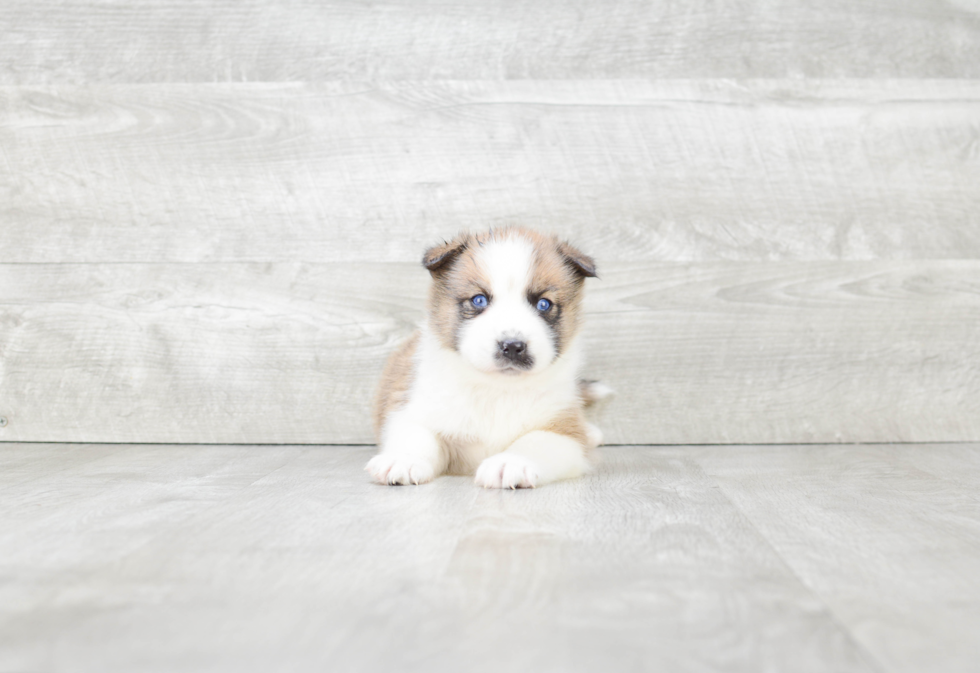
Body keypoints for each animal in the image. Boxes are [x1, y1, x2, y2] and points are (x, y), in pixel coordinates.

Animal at [368, 227, 608, 488]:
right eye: (479, 300)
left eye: (543, 304)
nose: (512, 346)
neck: (497, 388)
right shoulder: (415, 410)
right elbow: (418, 435)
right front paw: (403, 459)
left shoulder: (563, 431)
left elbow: (535, 442)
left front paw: (511, 462)